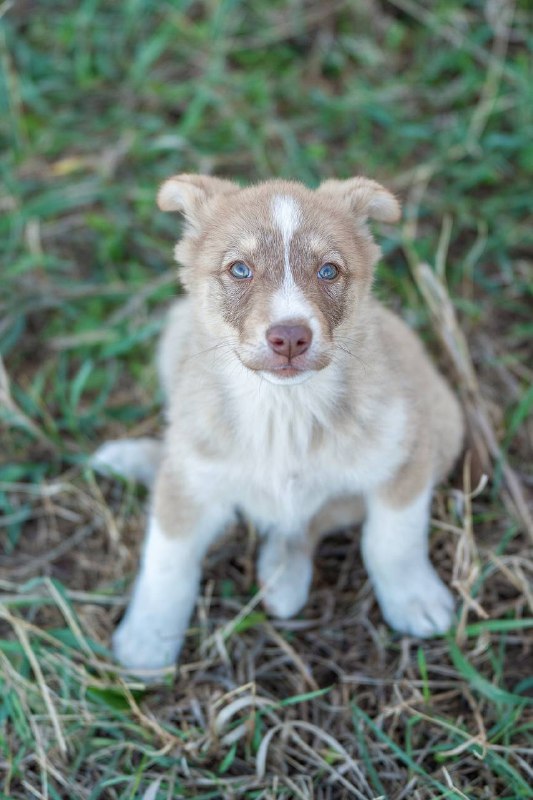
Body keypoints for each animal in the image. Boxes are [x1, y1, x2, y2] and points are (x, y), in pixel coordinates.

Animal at [93, 175, 464, 676]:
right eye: (240, 270)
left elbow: (393, 541)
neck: (284, 411)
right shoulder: (186, 489)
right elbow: (166, 560)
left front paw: (413, 598)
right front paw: (148, 638)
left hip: (448, 425)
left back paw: (283, 572)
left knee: (311, 520)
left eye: (328, 271)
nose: (289, 337)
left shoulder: (405, 456)